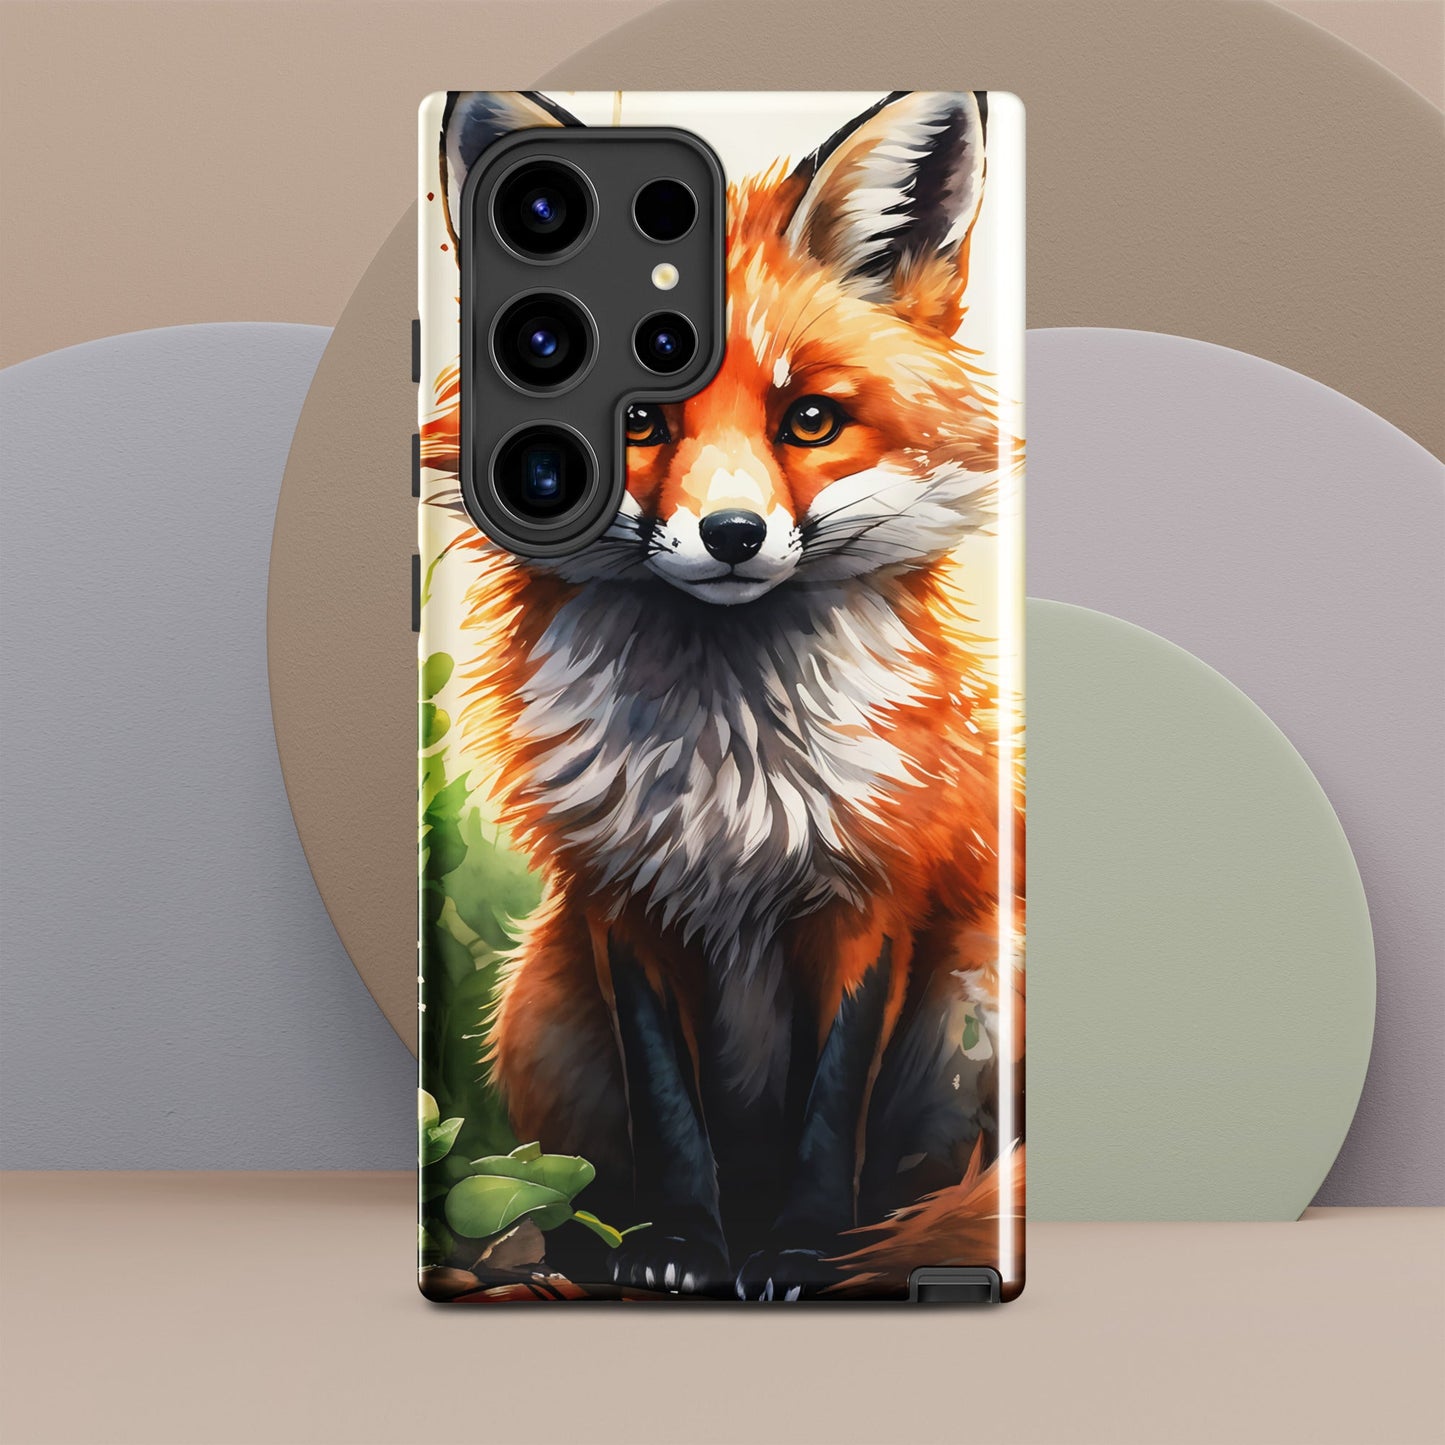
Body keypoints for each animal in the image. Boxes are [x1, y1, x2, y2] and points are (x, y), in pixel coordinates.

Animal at [425, 91, 1025, 1299]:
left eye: (810, 419)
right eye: (637, 420)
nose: (734, 534)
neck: (730, 772)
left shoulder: (872, 890)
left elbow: (830, 1106)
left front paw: (799, 1248)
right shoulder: (619, 897)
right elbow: (669, 1110)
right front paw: (681, 1248)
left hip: (979, 986)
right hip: (536, 998)